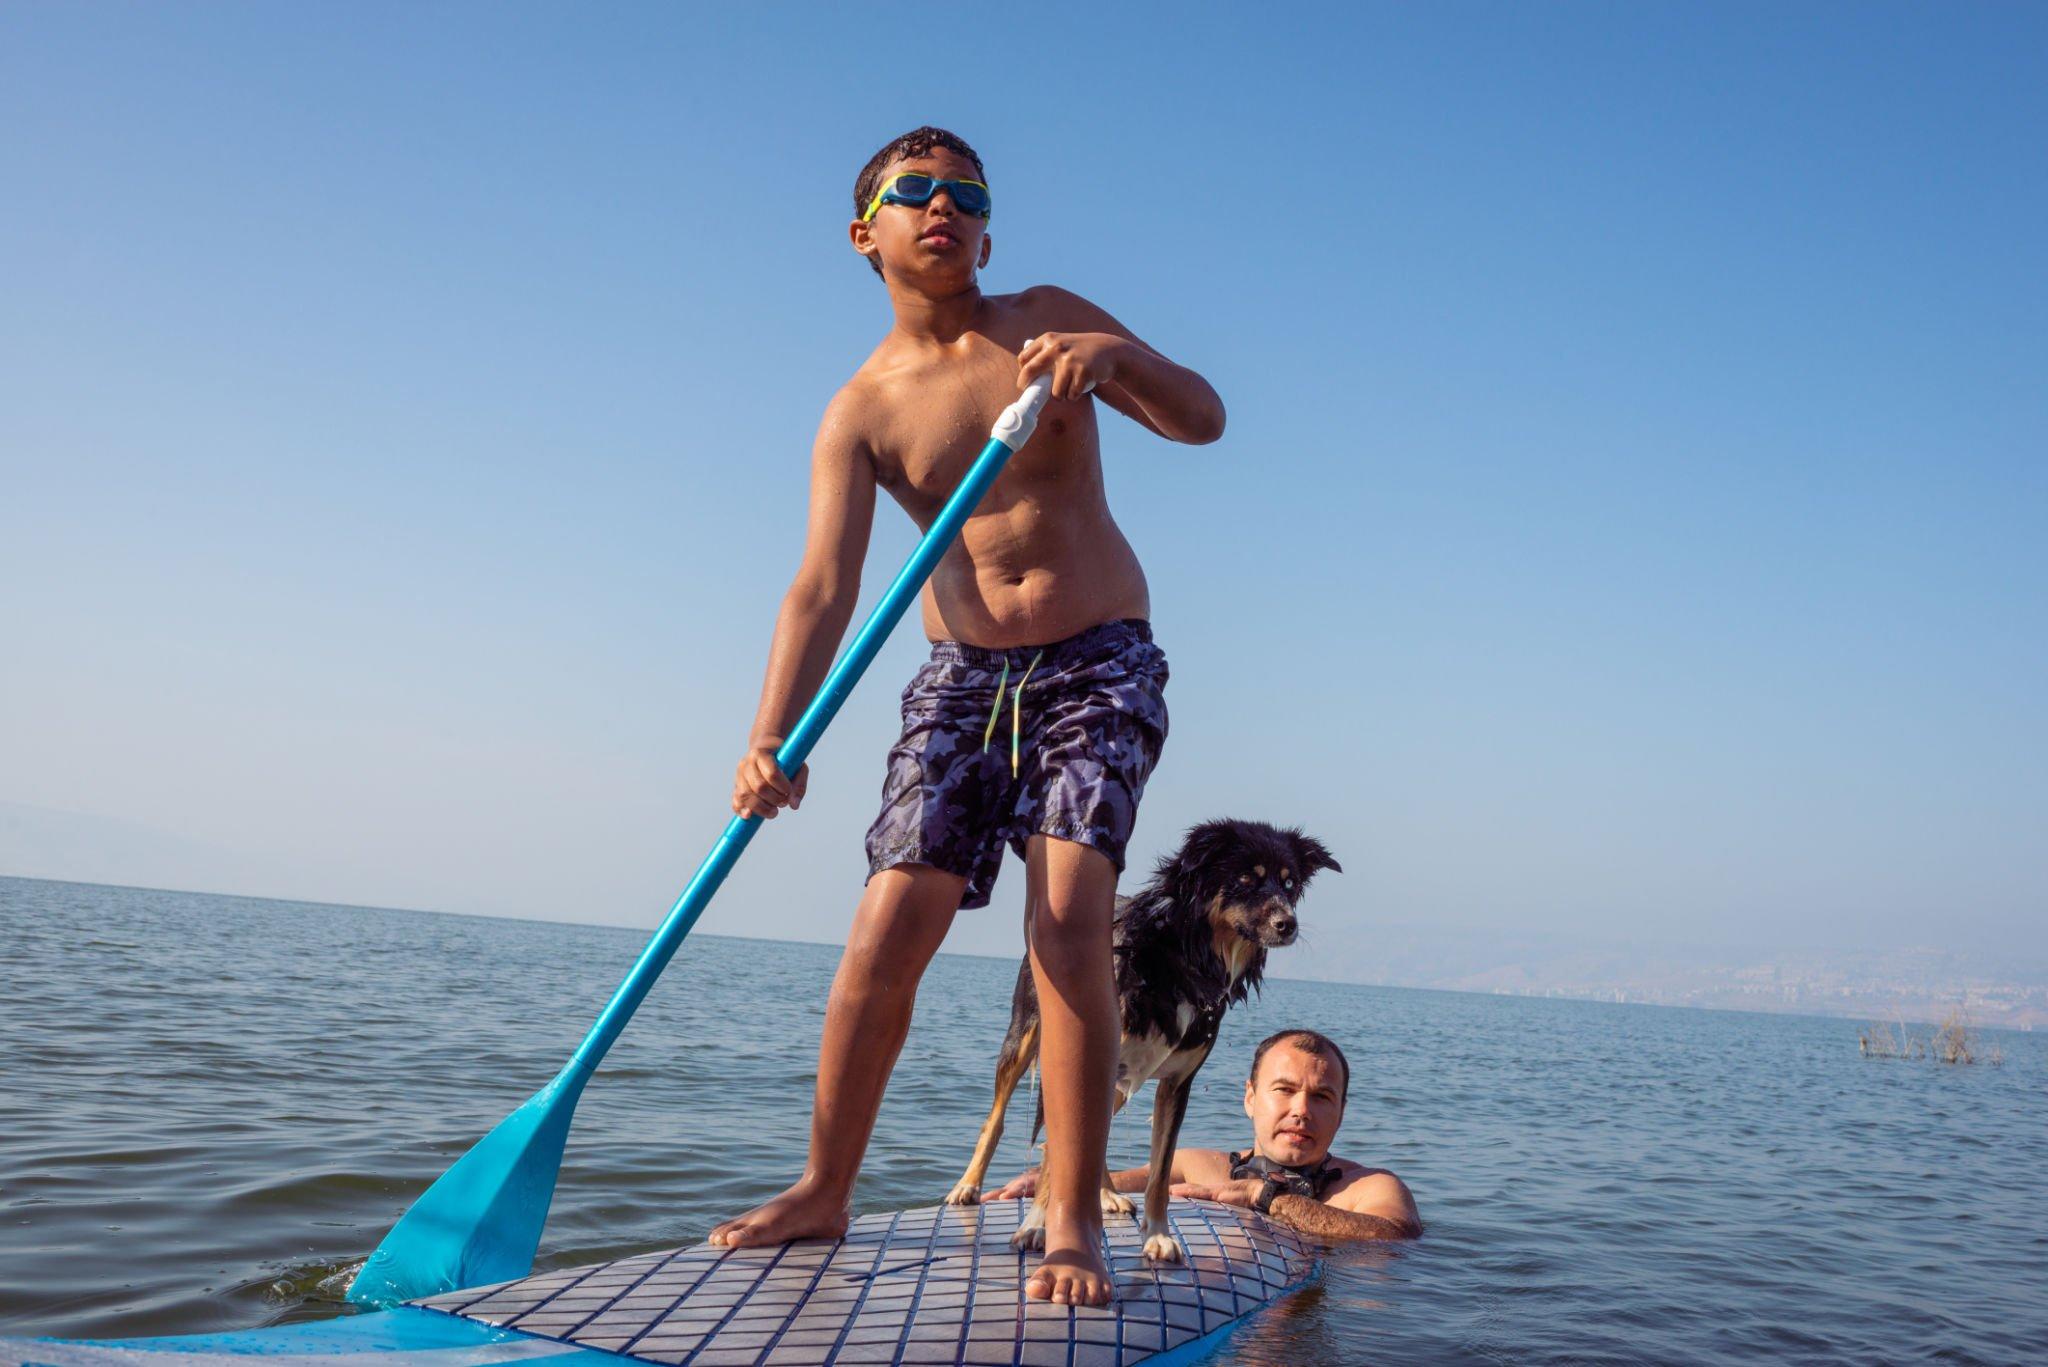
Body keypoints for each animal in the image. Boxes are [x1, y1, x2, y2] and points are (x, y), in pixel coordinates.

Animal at [942, 823, 1343, 1262]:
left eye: (1289, 884)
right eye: (1244, 879)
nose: (1288, 924)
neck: (1182, 958)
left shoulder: (1177, 1084)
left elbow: (1160, 1172)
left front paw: (1157, 1234)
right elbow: (1056, 1153)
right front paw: (1038, 1225)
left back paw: (1106, 1194)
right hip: (1025, 1035)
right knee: (997, 1119)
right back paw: (968, 1185)